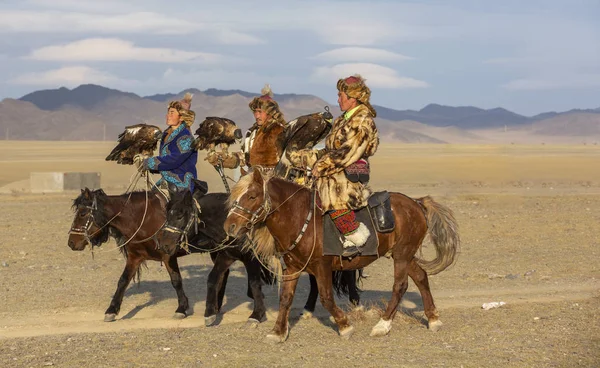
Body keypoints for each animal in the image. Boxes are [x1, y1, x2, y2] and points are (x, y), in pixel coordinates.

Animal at [223, 170, 462, 342]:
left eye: (252, 196)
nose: (230, 226)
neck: (301, 219)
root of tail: (417, 203)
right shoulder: (292, 268)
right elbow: (286, 299)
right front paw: (278, 332)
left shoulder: (322, 267)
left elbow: (326, 298)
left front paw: (345, 326)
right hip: (404, 254)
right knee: (421, 277)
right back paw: (433, 320)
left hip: (402, 255)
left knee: (400, 285)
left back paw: (382, 325)